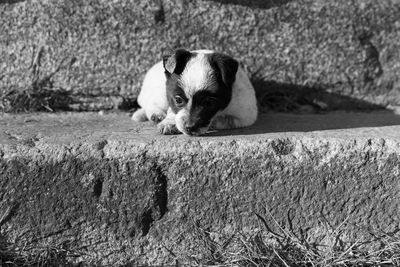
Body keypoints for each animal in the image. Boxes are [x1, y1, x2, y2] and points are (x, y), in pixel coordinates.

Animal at [130, 49, 258, 136]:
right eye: (178, 100)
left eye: (209, 103)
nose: (190, 128)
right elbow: (173, 112)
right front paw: (169, 123)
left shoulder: (245, 116)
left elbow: (222, 120)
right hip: (159, 93)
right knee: (150, 104)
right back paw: (156, 115)